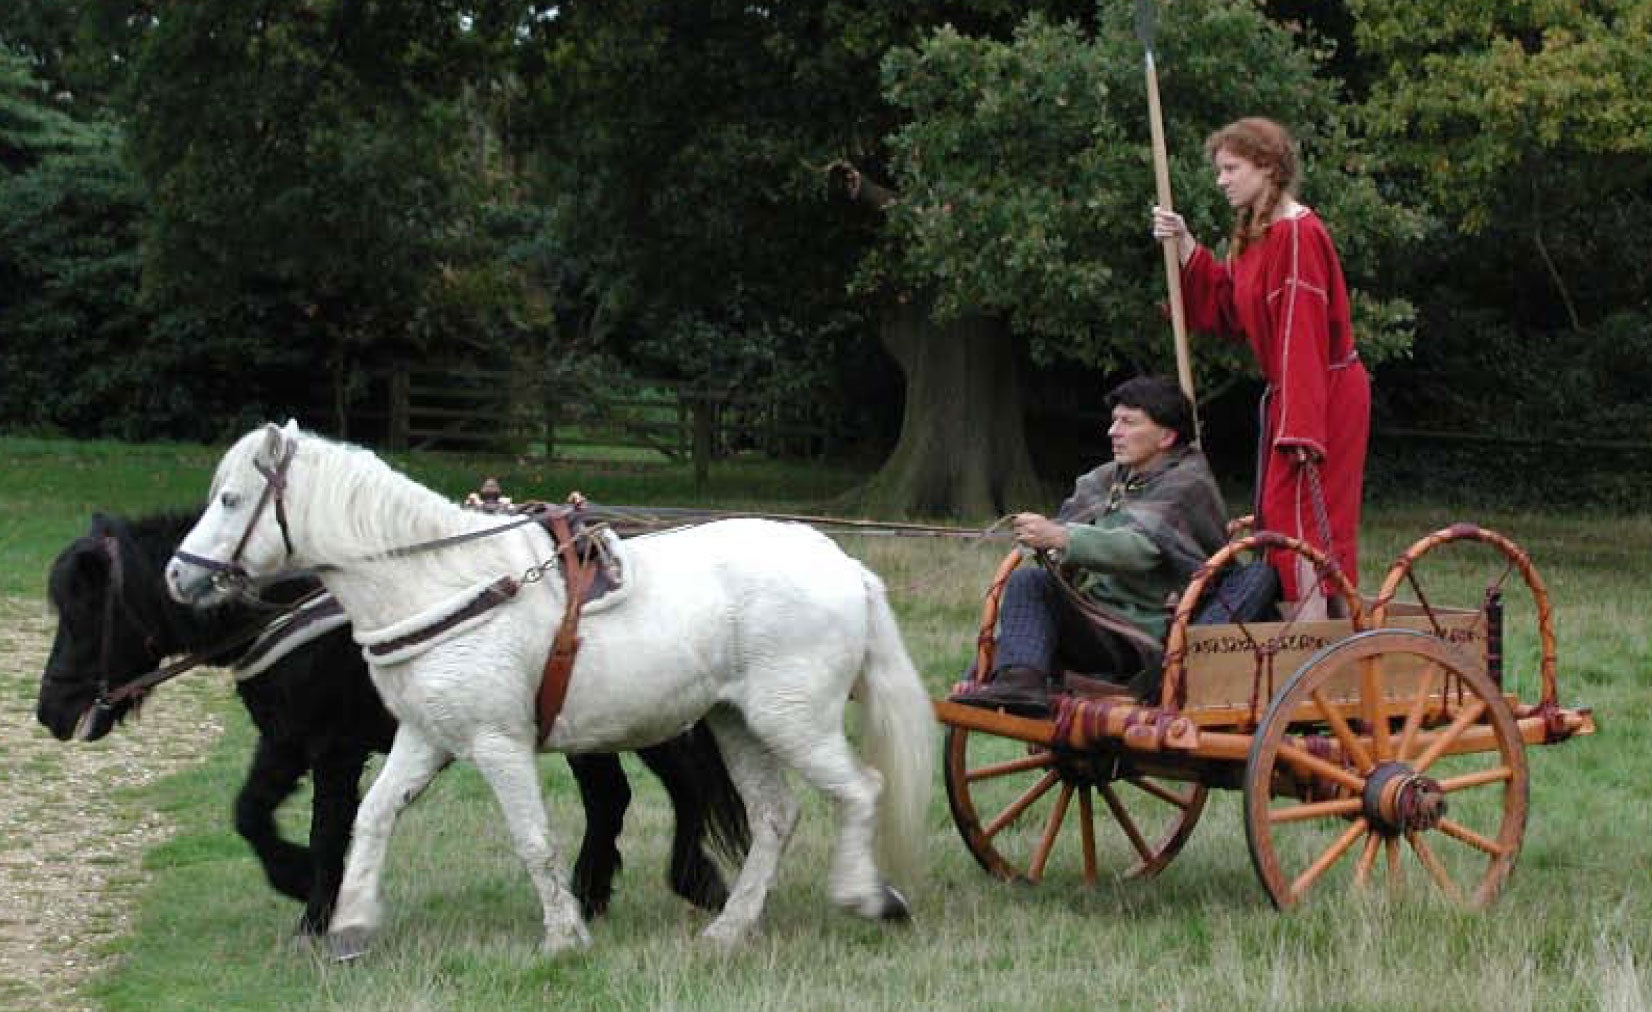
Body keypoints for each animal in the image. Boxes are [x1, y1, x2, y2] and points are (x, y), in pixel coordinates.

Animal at [33, 511, 750, 931]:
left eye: (85, 608)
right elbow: (250, 814)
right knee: (615, 797)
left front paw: (316, 913)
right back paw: (598, 893)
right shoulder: (286, 739)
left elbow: (328, 828)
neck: (302, 601)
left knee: (677, 786)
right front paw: (298, 882)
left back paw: (691, 881)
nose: (50, 710)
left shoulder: (333, 746)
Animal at [172, 420, 938, 957]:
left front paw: (564, 936)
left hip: (792, 723)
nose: (179, 576)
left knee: (860, 791)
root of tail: (844, 567)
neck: (444, 584)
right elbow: (374, 816)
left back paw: (865, 898)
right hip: (736, 723)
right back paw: (730, 927)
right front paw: (352, 922)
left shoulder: (498, 744)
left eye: (232, 500)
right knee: (776, 816)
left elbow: (533, 840)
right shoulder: (424, 738)